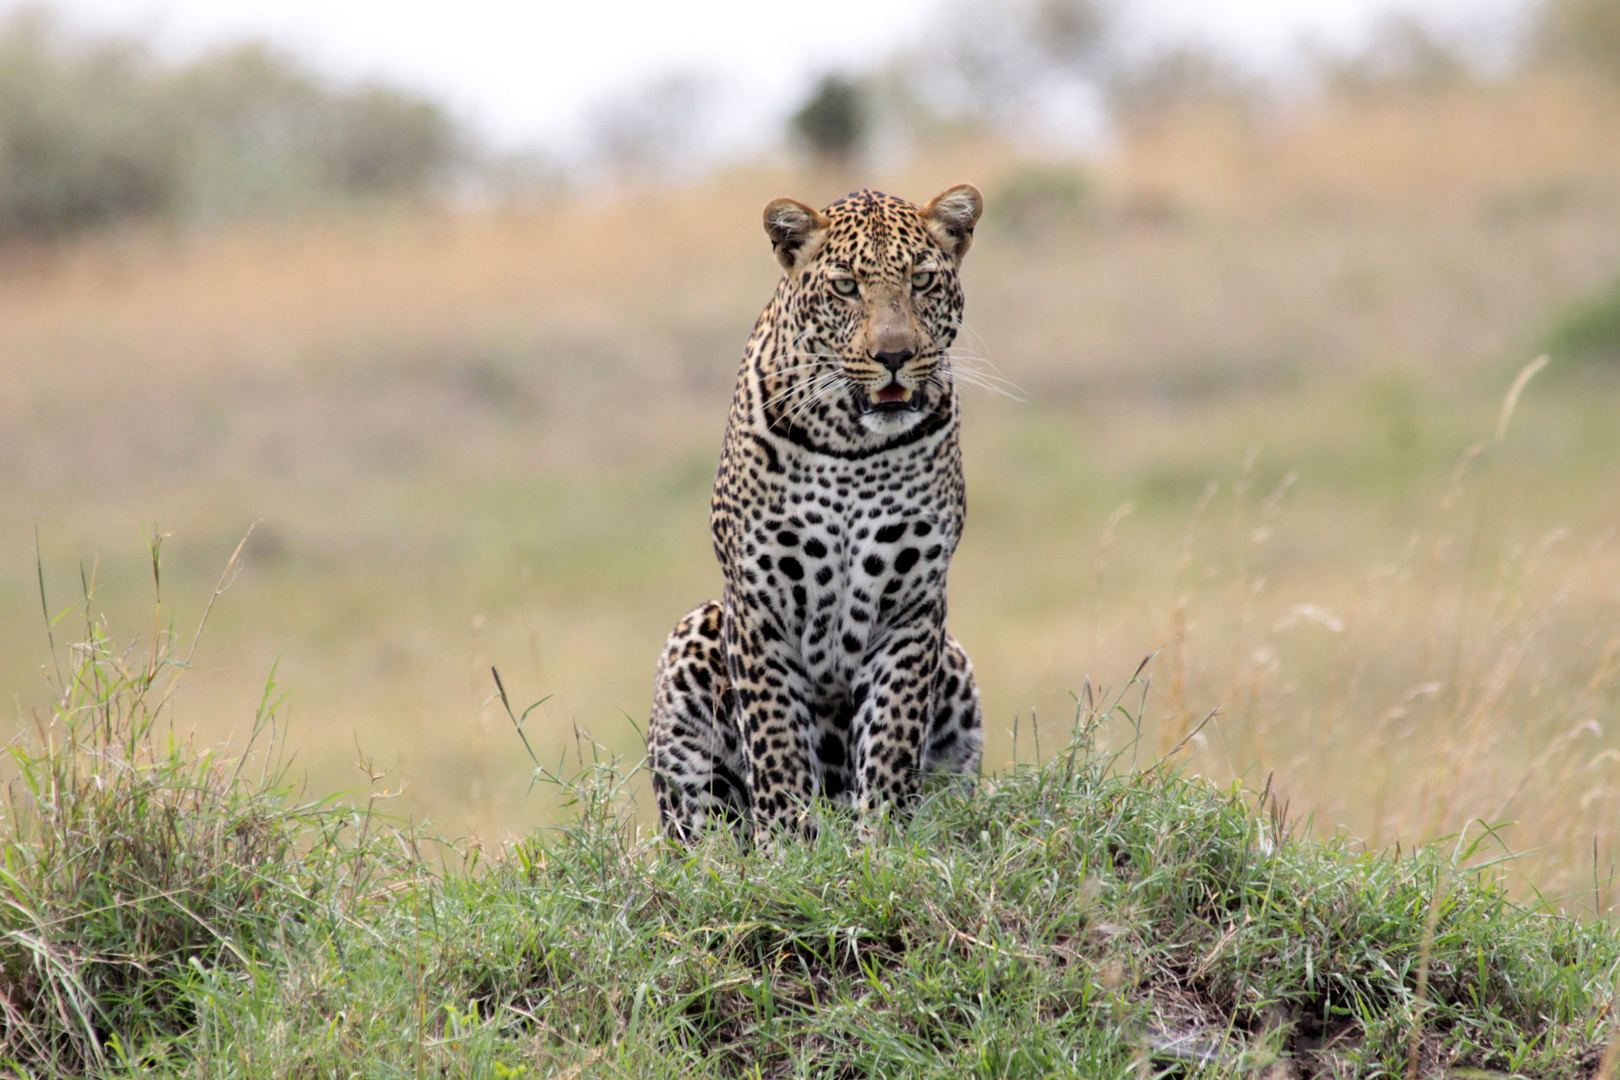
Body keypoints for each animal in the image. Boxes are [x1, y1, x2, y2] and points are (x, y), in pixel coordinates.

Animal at [644, 183, 984, 841]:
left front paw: (883, 839)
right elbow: (775, 738)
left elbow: (892, 733)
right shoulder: (759, 599)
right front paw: (789, 846)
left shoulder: (914, 602)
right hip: (695, 638)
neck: (852, 445)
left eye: (923, 281)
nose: (894, 355)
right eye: (846, 286)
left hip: (954, 661)